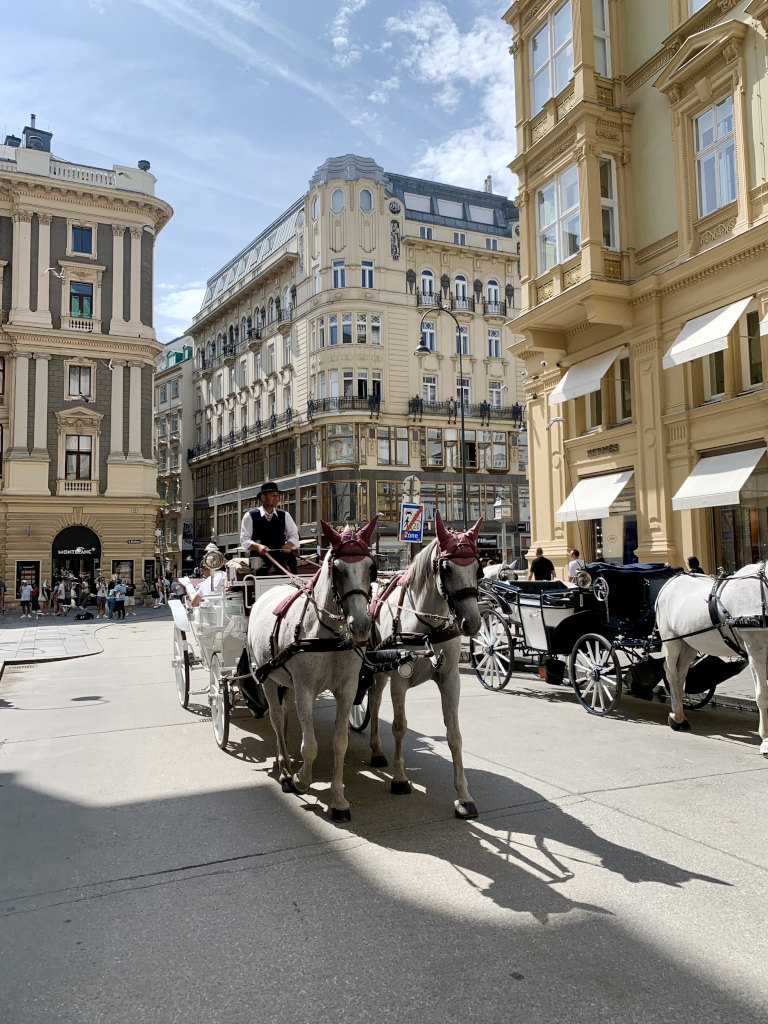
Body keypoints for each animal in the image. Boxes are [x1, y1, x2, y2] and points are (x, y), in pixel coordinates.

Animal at [246, 516, 378, 819]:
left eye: (371, 567)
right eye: (337, 569)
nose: (361, 626)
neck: (326, 635)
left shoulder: (347, 689)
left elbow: (340, 743)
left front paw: (338, 799)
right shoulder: (305, 689)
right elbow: (310, 746)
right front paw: (301, 780)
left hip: (286, 681)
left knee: (283, 714)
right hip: (267, 677)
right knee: (275, 717)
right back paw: (285, 770)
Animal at [655, 565, 768, 757]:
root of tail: (673, 579)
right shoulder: (756, 650)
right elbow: (763, 695)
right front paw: (766, 740)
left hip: (689, 644)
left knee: (680, 674)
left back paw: (681, 716)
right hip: (672, 640)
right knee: (670, 672)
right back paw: (676, 716)